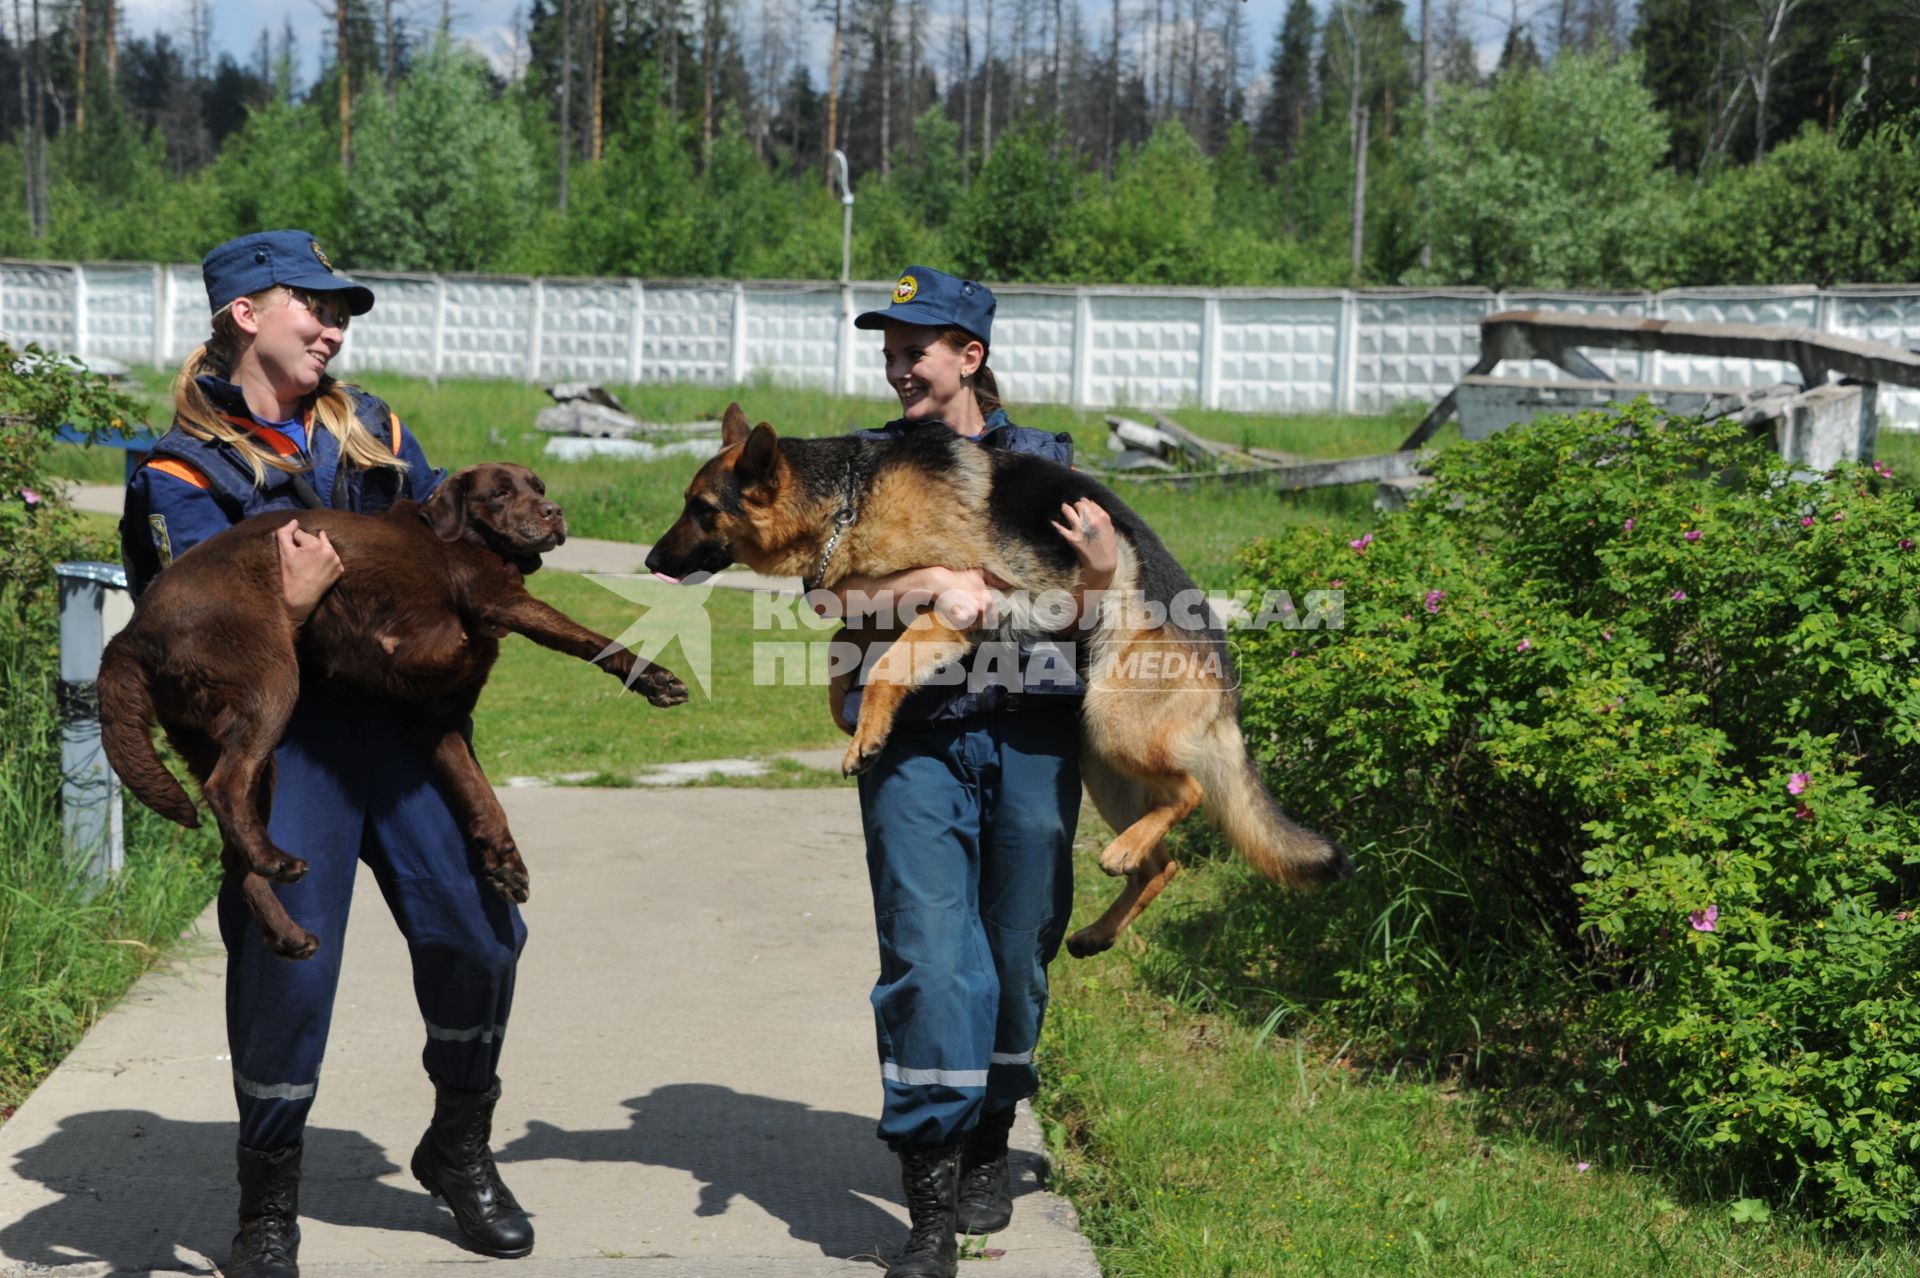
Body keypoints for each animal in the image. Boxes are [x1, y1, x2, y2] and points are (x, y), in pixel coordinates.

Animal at [103, 460, 691, 955]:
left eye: (539, 487)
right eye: (500, 494)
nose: (554, 511)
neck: (463, 538)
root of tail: (132, 633)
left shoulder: (434, 723)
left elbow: (482, 796)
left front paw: (504, 863)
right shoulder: (501, 601)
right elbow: (593, 639)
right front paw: (654, 678)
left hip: (234, 749)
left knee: (232, 848)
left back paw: (287, 933)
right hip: (271, 685)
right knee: (227, 788)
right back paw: (278, 859)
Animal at [648, 402, 1351, 951]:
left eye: (701, 508)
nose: (652, 561)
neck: (851, 495)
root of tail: (1227, 680)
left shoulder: (956, 604)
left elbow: (886, 667)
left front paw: (866, 735)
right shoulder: (890, 604)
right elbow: (846, 650)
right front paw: (844, 707)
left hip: (1115, 724)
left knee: (1191, 795)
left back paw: (1124, 855)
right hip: (1104, 764)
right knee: (1165, 864)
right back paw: (1098, 928)